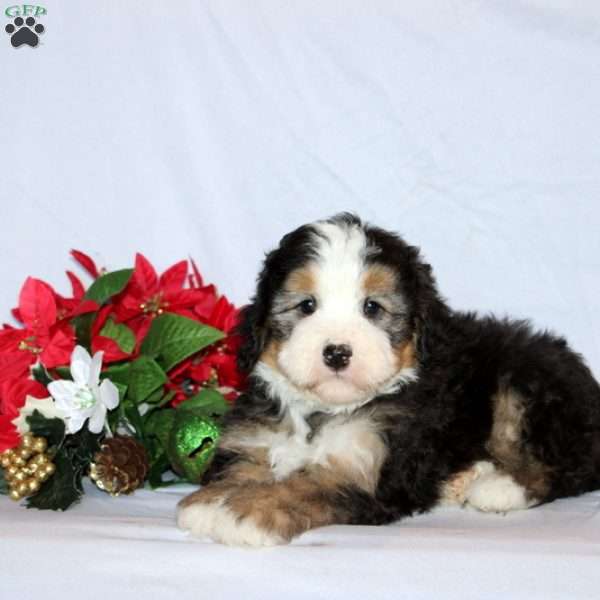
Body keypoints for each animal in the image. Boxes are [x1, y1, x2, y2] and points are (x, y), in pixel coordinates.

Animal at [176, 213, 600, 548]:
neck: (324, 411)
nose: (337, 352)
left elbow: (308, 485)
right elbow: (246, 466)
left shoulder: (372, 469)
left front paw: (246, 513)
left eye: (372, 308)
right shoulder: (259, 437)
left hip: (525, 387)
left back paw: (499, 488)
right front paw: (212, 501)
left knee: (562, 467)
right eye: (307, 305)